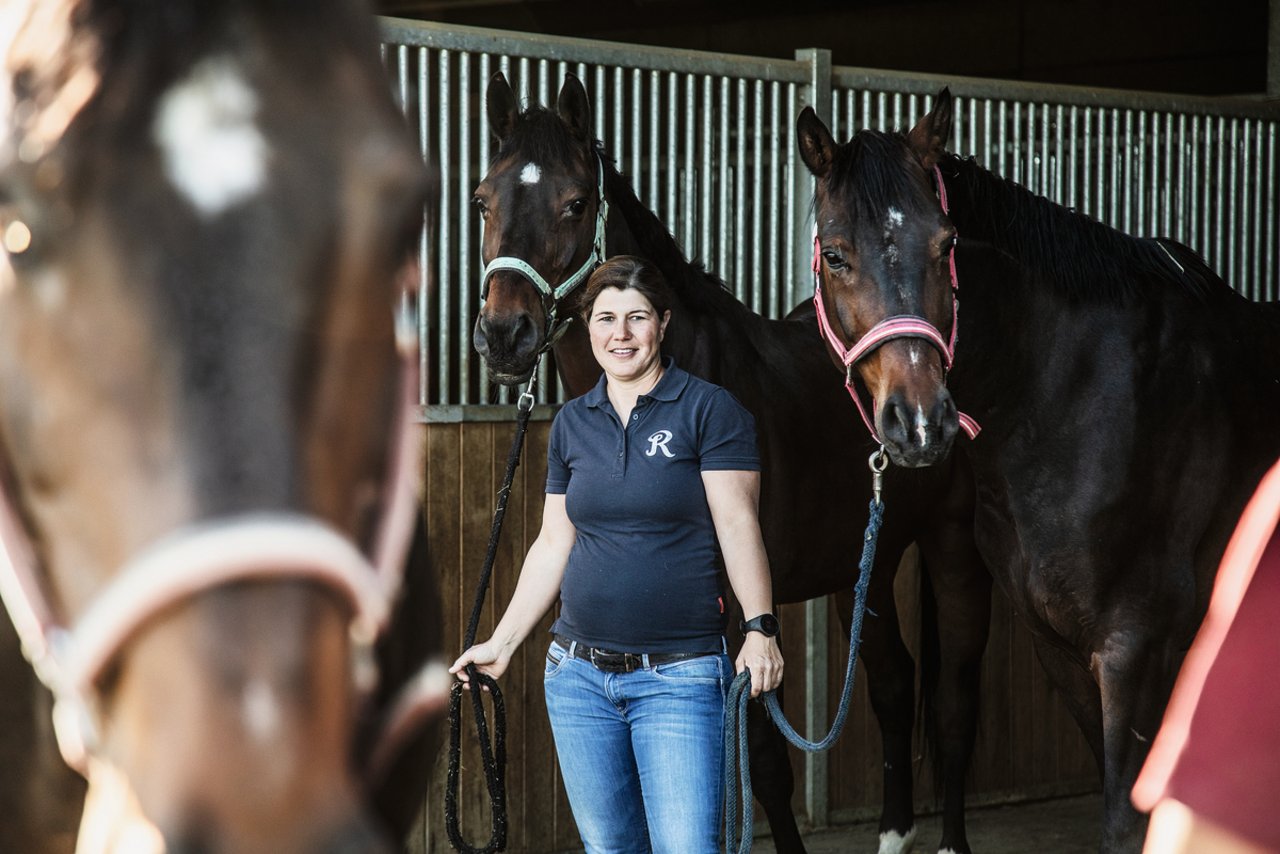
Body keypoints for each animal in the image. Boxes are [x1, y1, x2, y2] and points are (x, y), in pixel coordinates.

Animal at [476, 71, 993, 854]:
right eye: (482, 199)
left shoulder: (740, 617)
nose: (505, 333)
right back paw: (893, 833)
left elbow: (763, 766)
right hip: (862, 565)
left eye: (575, 203)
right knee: (894, 684)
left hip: (953, 546)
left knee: (956, 705)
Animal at [798, 90, 1280, 850]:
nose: (921, 423)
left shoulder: (1136, 647)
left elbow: (1122, 822)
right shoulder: (1059, 646)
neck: (1078, 395)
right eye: (836, 255)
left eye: (947, 245)